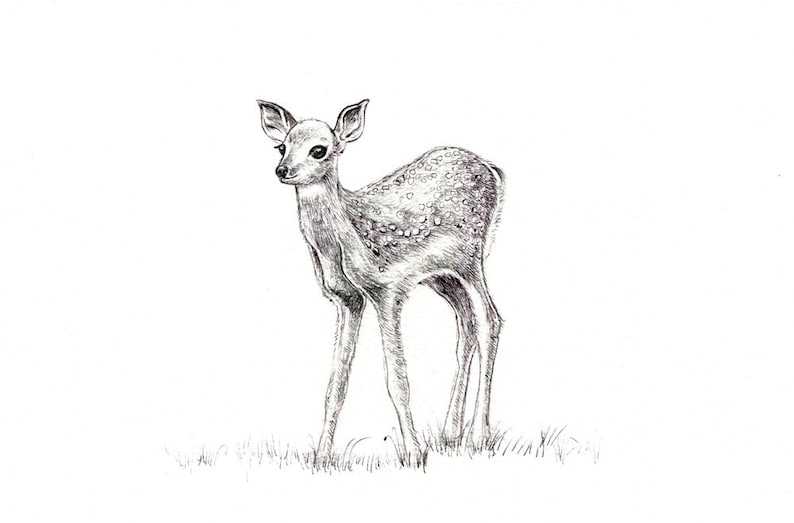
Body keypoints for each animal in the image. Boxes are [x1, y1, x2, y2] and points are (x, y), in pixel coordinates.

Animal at [257, 99, 504, 467]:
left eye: (319, 150)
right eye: (281, 146)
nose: (283, 170)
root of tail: (492, 169)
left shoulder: (387, 290)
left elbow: (397, 381)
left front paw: (415, 455)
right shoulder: (347, 299)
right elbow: (336, 384)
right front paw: (321, 458)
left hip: (472, 259)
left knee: (491, 320)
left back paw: (478, 436)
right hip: (444, 277)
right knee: (467, 326)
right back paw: (450, 433)